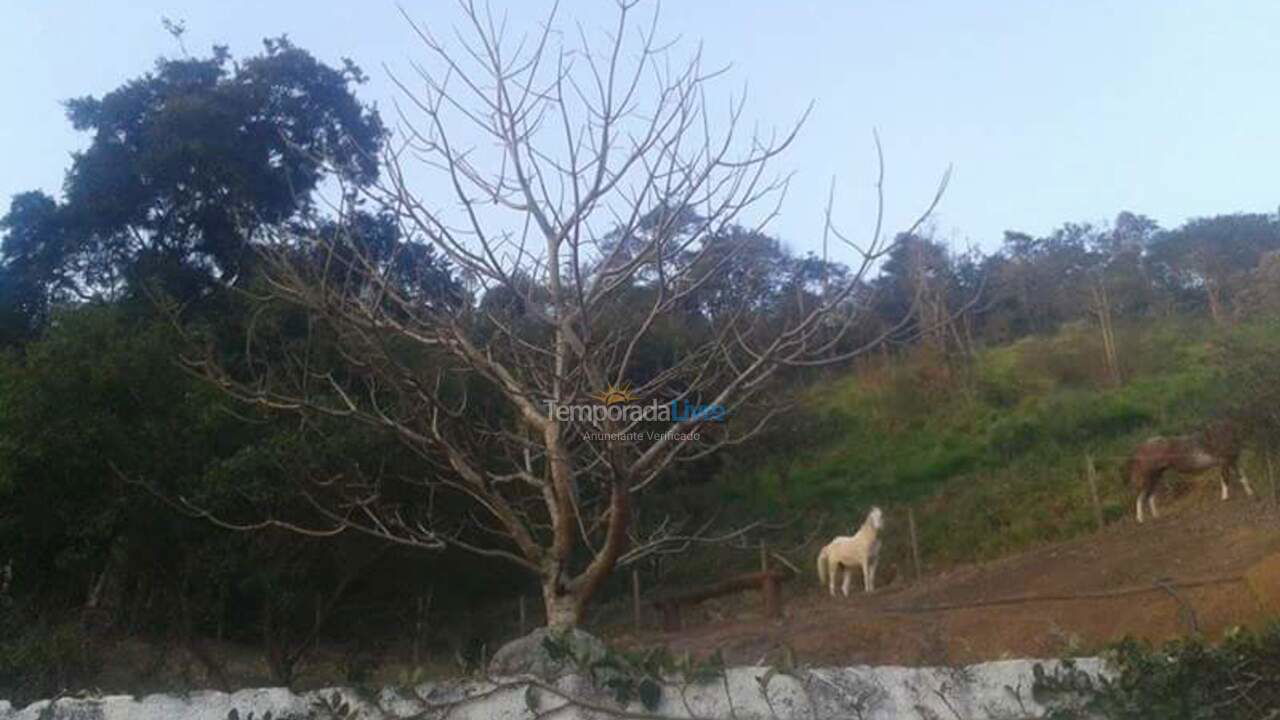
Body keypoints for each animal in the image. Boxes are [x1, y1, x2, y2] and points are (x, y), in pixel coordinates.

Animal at [1126, 415, 1254, 520]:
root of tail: (1141, 447)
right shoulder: (1225, 461)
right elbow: (1225, 479)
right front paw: (1225, 498)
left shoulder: (1233, 461)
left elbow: (1242, 476)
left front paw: (1250, 493)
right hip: (1149, 476)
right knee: (1141, 496)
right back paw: (1140, 519)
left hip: (1157, 475)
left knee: (1150, 496)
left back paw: (1156, 516)